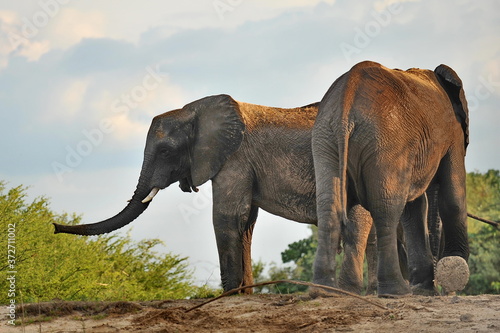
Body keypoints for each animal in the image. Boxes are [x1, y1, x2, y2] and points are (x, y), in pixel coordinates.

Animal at [312, 59, 468, 296]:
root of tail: (346, 103)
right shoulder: (453, 132)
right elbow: (453, 194)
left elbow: (414, 208)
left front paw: (424, 288)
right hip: (387, 141)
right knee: (386, 208)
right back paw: (396, 291)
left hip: (325, 139)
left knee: (328, 207)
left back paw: (323, 291)